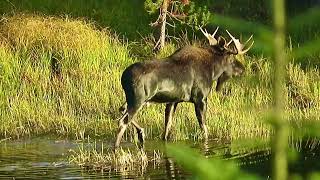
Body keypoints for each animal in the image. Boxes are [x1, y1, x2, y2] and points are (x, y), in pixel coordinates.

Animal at [114, 27, 252, 148]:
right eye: (231, 58)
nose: (242, 68)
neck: (213, 71)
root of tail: (123, 77)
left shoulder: (173, 101)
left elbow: (167, 128)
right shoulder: (200, 99)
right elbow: (204, 128)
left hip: (133, 98)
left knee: (121, 109)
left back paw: (141, 133)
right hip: (138, 99)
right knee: (122, 121)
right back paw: (117, 147)